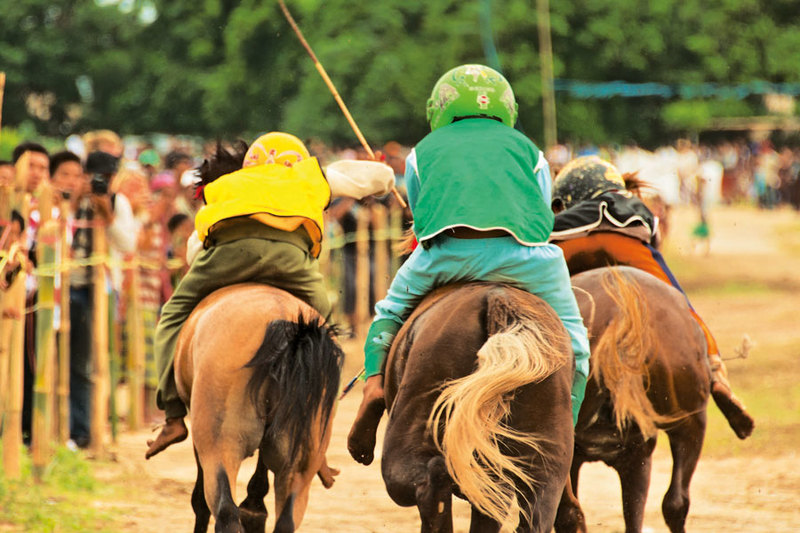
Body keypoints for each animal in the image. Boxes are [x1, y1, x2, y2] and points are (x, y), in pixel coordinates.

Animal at [176, 282, 344, 528]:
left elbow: (200, 503)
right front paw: (255, 509)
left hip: (220, 448)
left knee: (224, 511)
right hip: (299, 468)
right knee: (286, 520)